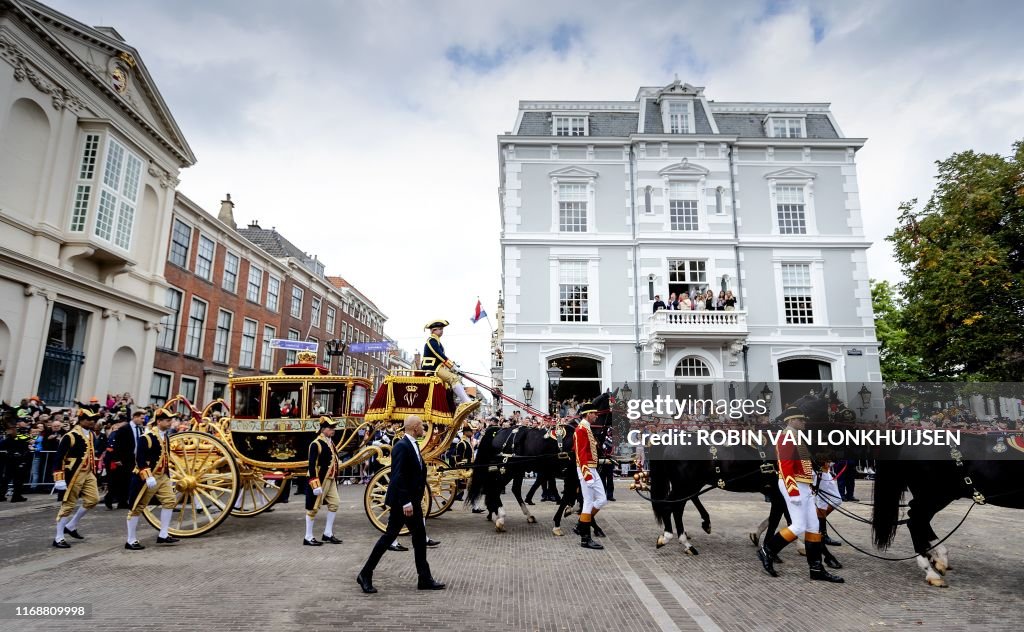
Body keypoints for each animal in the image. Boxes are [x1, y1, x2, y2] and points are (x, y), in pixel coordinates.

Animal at [468, 393, 610, 532]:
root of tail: (499, 430)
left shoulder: (573, 475)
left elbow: (577, 498)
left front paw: (577, 516)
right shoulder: (572, 473)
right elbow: (574, 498)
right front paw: (564, 521)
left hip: (517, 470)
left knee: (512, 489)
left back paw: (524, 515)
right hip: (506, 469)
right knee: (494, 488)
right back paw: (500, 517)